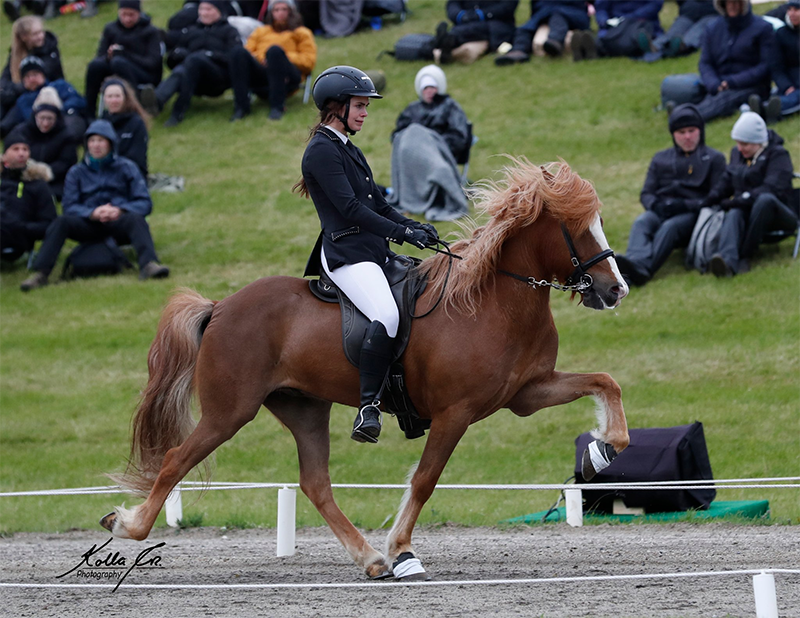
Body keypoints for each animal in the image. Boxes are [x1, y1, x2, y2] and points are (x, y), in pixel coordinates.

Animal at [100, 159, 628, 576]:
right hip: (229, 411)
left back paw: (370, 559)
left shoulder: (527, 393)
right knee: (175, 460)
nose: (615, 290)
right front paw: (404, 551)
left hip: (304, 408)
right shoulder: (455, 413)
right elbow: (424, 480)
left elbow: (606, 383)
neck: (493, 299)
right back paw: (129, 525)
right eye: (577, 226)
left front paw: (601, 452)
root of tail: (220, 307)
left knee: (315, 484)